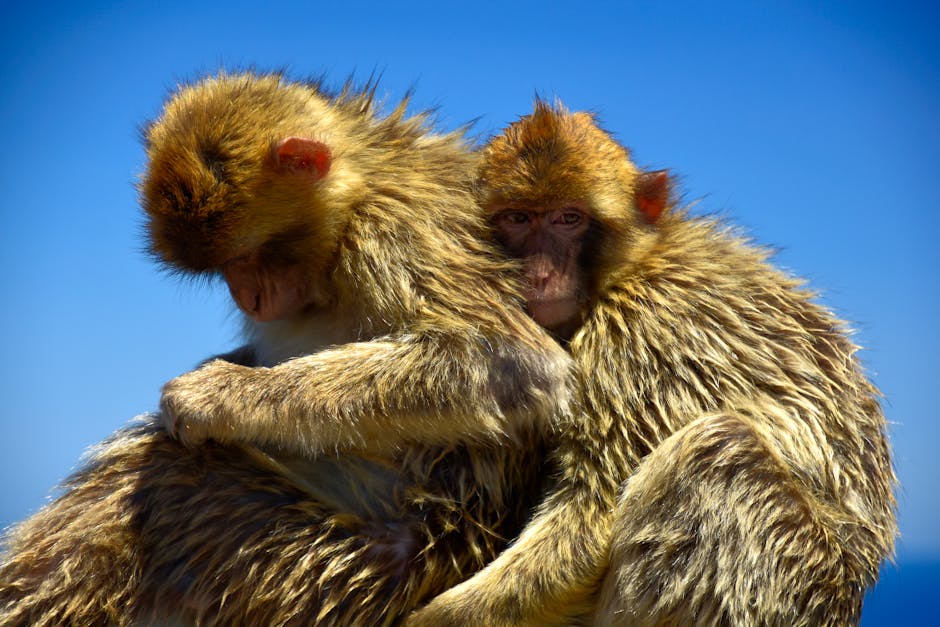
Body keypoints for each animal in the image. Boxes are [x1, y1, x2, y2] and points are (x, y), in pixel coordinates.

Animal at [0, 73, 572, 627]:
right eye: (228, 269)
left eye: (250, 256)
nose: (247, 298)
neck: (363, 182)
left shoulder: (398, 228)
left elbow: (505, 359)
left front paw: (217, 395)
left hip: (325, 568)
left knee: (164, 477)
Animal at [410, 100, 896, 624]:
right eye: (518, 218)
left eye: (568, 219)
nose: (539, 275)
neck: (629, 270)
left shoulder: (635, 338)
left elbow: (590, 515)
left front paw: (435, 617)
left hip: (794, 579)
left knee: (717, 449)